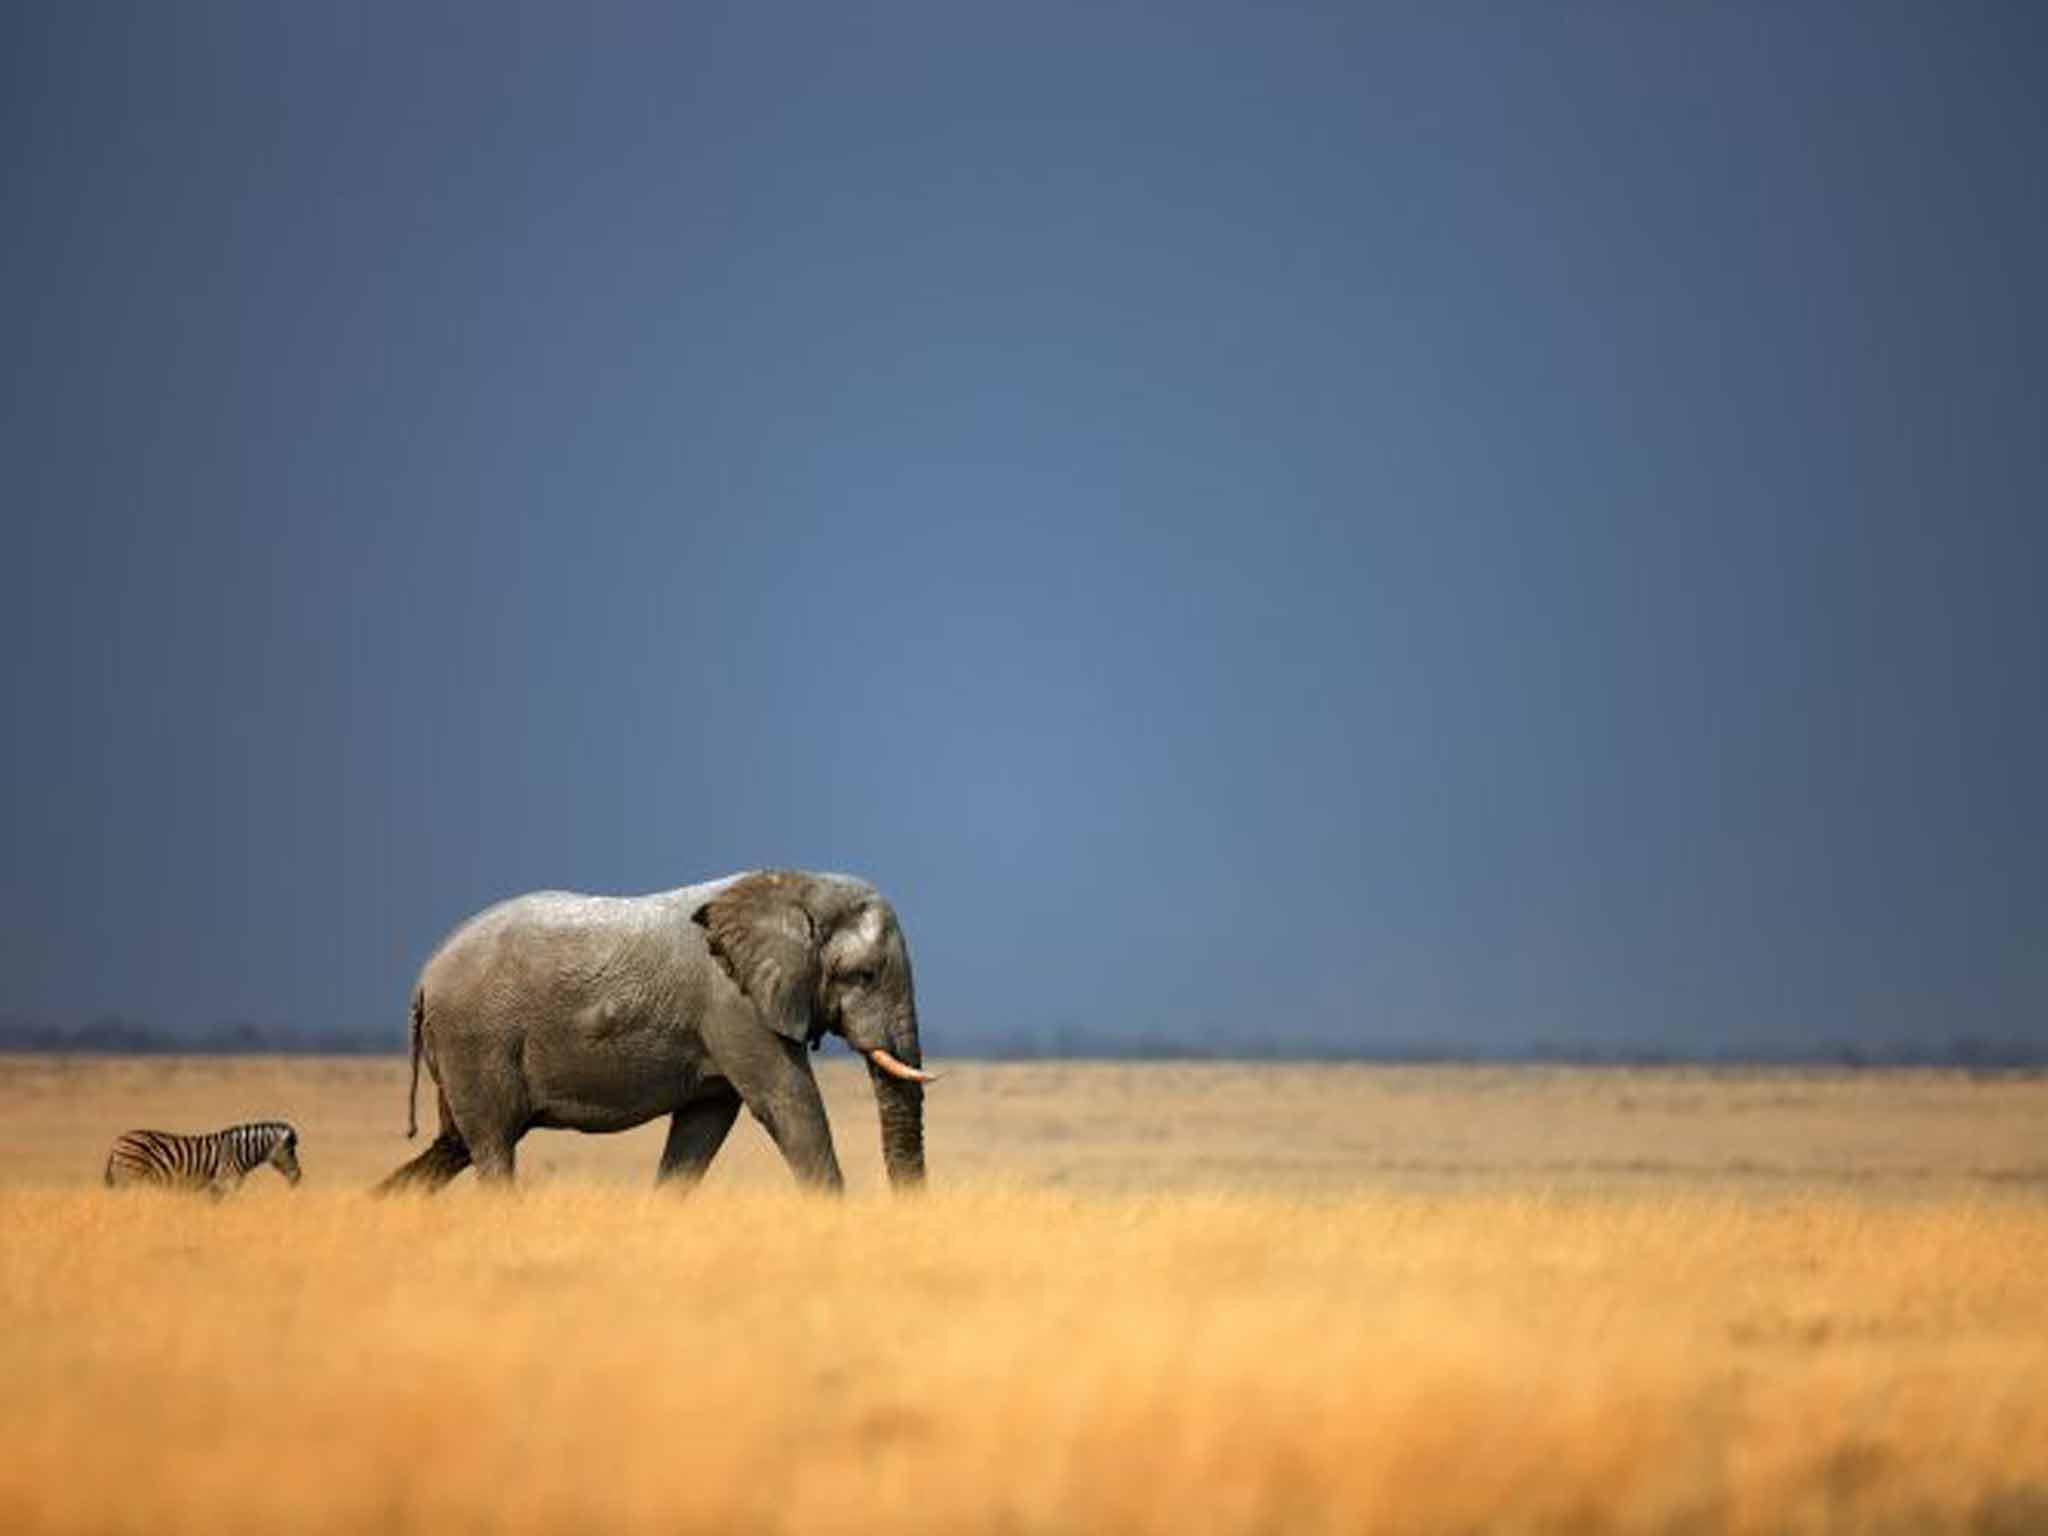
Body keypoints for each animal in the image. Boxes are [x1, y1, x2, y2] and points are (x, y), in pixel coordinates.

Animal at [103, 1121, 303, 1197]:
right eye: (290, 1151)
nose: (298, 1177)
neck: (238, 1152)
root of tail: (117, 1142)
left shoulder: (220, 1187)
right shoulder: (224, 1183)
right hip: (130, 1177)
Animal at [373, 870, 933, 1194]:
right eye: (863, 975)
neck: (794, 887)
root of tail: (424, 976)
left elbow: (703, 1126)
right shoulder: (733, 1004)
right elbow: (788, 1104)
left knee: (454, 1145)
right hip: (476, 1037)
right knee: (490, 1147)